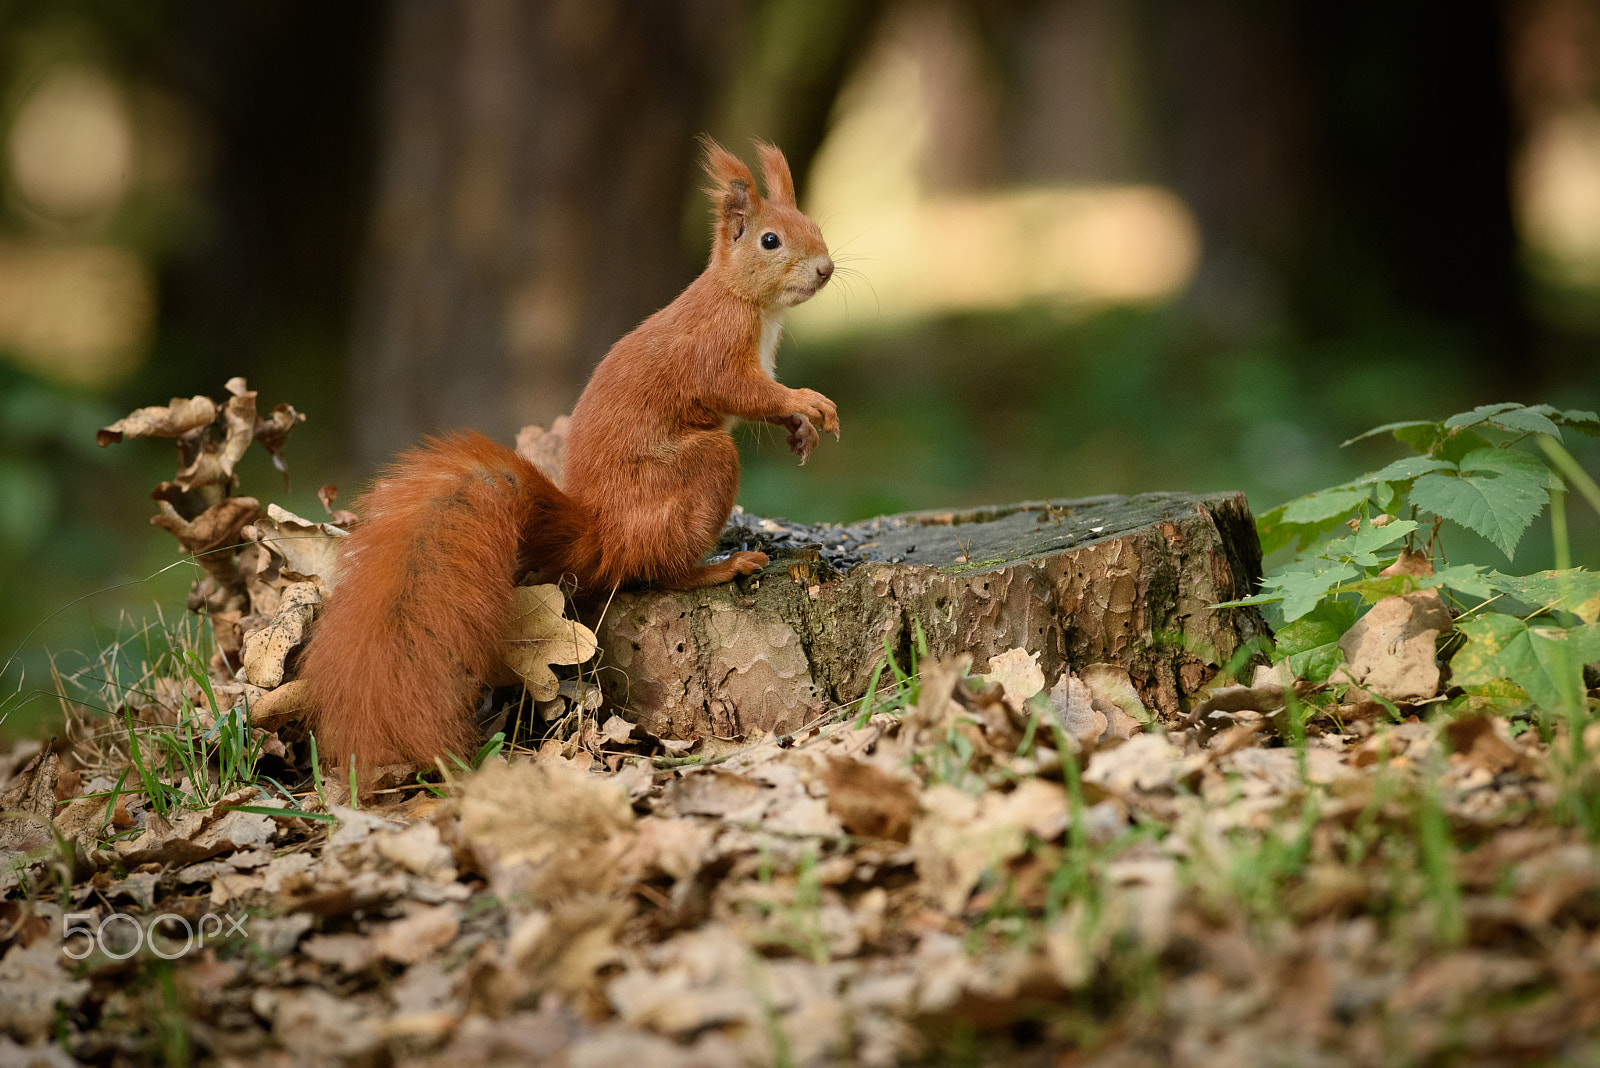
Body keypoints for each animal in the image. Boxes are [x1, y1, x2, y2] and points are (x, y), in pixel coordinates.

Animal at [304, 139, 844, 777]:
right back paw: (721, 565)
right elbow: (745, 392)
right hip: (703, 467)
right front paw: (808, 403)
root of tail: (601, 535)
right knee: (663, 572)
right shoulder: (717, 353)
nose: (825, 268)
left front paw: (801, 430)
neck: (745, 301)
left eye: (814, 226)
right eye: (770, 240)